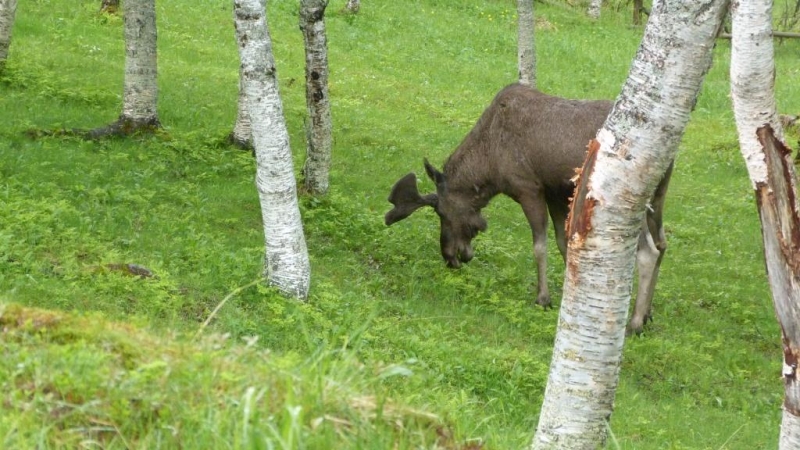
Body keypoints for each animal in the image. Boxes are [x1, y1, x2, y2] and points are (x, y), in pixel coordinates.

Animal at [384, 82, 672, 334]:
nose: (450, 257)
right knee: (662, 243)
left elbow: (539, 245)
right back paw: (647, 313)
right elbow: (564, 243)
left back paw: (634, 323)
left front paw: (543, 298)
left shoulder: (529, 188)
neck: (488, 168)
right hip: (658, 198)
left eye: (442, 213)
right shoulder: (557, 193)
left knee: (648, 251)